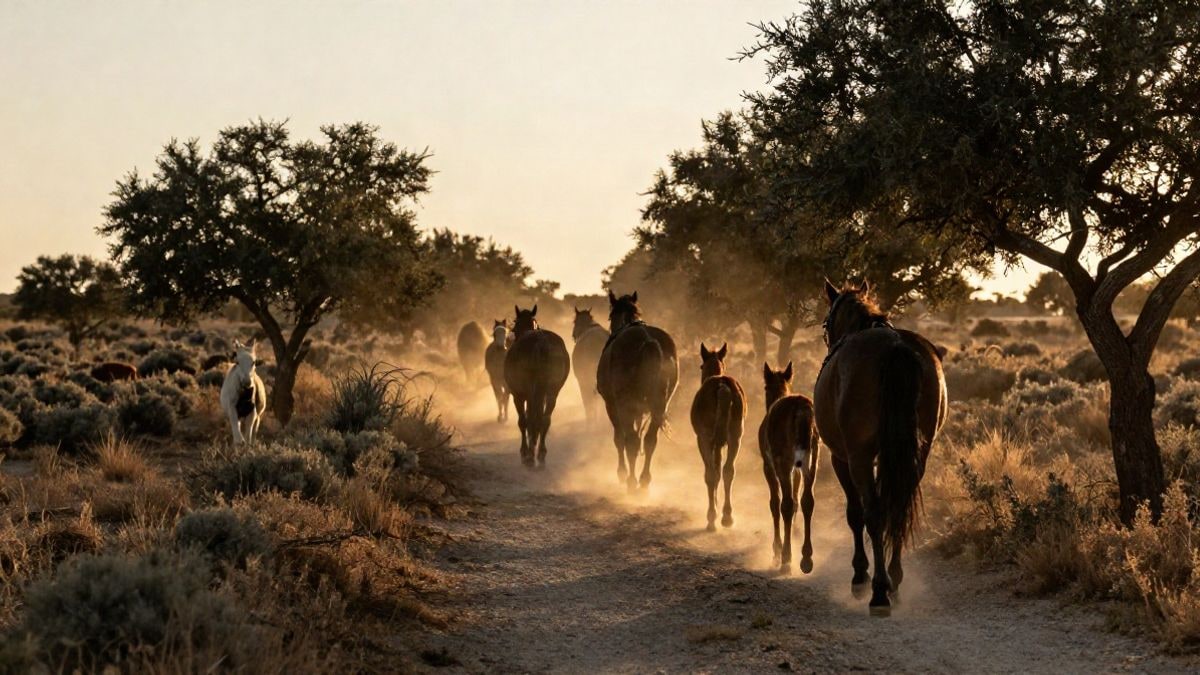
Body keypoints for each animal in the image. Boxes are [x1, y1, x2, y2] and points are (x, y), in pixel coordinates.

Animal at [503, 305, 571, 468]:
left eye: (514, 325)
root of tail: (541, 343)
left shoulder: (519, 395)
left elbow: (523, 420)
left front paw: (524, 452)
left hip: (529, 392)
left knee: (530, 420)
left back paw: (530, 455)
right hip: (552, 392)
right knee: (545, 420)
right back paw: (540, 454)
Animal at [596, 291, 679, 491]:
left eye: (610, 315)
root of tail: (648, 341)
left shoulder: (612, 406)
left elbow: (619, 439)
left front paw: (621, 472)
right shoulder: (640, 409)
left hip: (625, 405)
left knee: (631, 441)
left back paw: (631, 482)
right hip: (659, 405)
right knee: (649, 441)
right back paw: (644, 481)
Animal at [689, 343, 745, 531]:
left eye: (701, 366)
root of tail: (722, 387)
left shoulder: (706, 440)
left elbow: (713, 472)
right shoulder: (721, 444)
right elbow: (721, 470)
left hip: (705, 438)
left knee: (710, 474)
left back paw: (711, 518)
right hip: (735, 437)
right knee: (728, 470)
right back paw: (727, 517)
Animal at [758, 362, 819, 573]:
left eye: (765, 387)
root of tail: (801, 409)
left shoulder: (769, 466)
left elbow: (775, 504)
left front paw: (776, 551)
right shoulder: (797, 469)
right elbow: (796, 502)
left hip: (783, 463)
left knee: (785, 503)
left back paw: (785, 557)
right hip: (812, 459)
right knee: (807, 501)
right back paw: (806, 559)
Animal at [815, 279, 947, 615]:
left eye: (826, 322)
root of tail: (895, 347)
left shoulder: (841, 458)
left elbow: (855, 514)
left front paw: (860, 575)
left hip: (859, 457)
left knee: (873, 513)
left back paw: (878, 591)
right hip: (916, 455)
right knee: (898, 506)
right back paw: (894, 582)